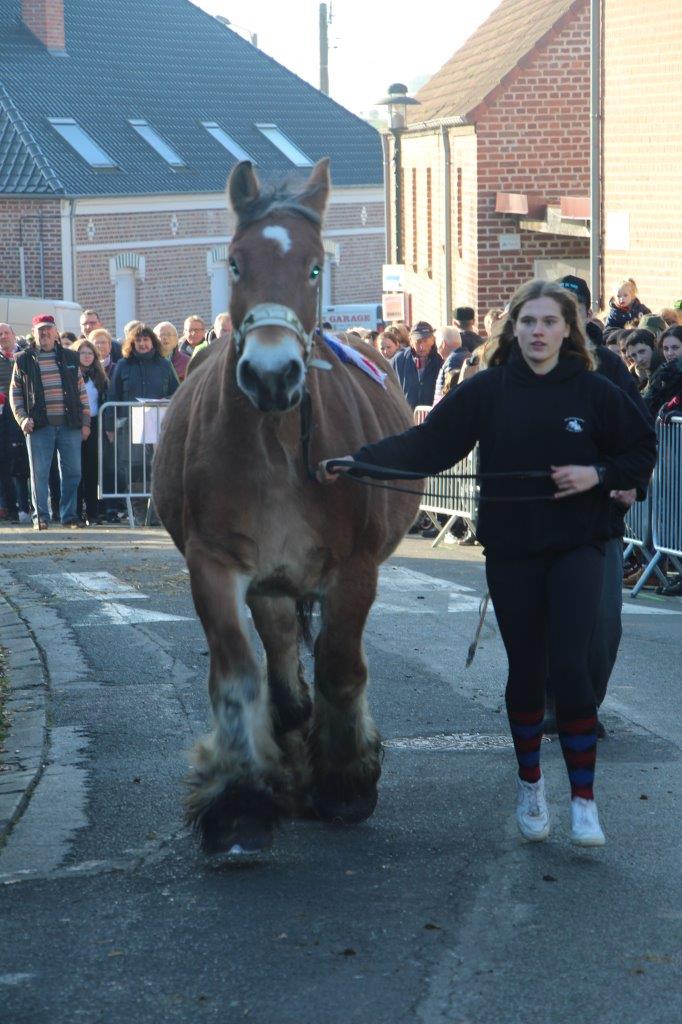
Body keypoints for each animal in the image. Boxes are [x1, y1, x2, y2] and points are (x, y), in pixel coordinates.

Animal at [152, 159, 419, 856]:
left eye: (316, 267)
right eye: (235, 263)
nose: (272, 374)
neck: (275, 445)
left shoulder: (354, 569)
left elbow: (341, 666)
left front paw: (346, 781)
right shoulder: (215, 564)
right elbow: (238, 675)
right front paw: (240, 799)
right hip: (270, 585)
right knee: (278, 662)